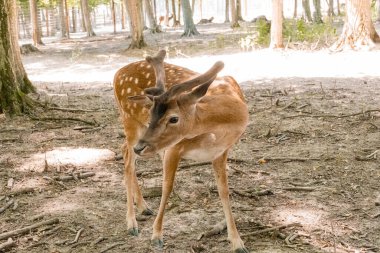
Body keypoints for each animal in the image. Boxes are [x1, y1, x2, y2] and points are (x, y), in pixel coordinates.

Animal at [113, 50, 249, 253]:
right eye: (151, 113)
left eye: (173, 118)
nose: (141, 147)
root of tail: (116, 74)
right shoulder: (173, 147)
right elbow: (167, 187)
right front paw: (156, 236)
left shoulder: (221, 152)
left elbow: (224, 191)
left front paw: (237, 242)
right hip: (130, 121)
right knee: (129, 161)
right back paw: (131, 223)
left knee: (125, 151)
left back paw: (143, 206)